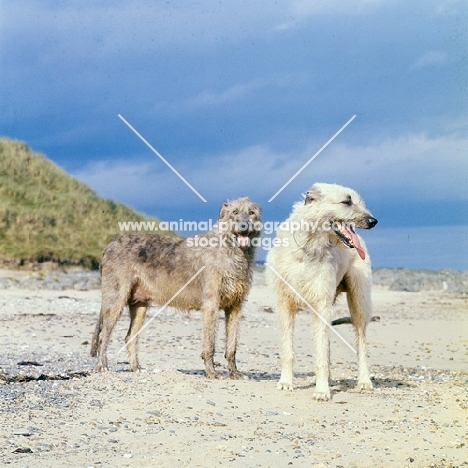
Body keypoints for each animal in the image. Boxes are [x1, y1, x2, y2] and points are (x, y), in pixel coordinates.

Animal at [266, 182, 378, 398]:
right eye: (346, 201)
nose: (373, 221)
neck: (307, 246)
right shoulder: (285, 303)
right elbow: (288, 349)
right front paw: (286, 382)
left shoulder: (321, 303)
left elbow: (321, 351)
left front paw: (322, 390)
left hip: (359, 299)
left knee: (360, 341)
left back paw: (364, 381)